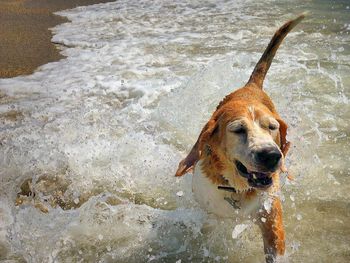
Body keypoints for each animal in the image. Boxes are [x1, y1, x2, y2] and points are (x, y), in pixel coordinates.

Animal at [174, 14, 304, 263]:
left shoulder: (270, 214)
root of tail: (250, 86)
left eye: (272, 127)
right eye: (238, 130)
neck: (238, 189)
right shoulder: (209, 218)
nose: (272, 156)